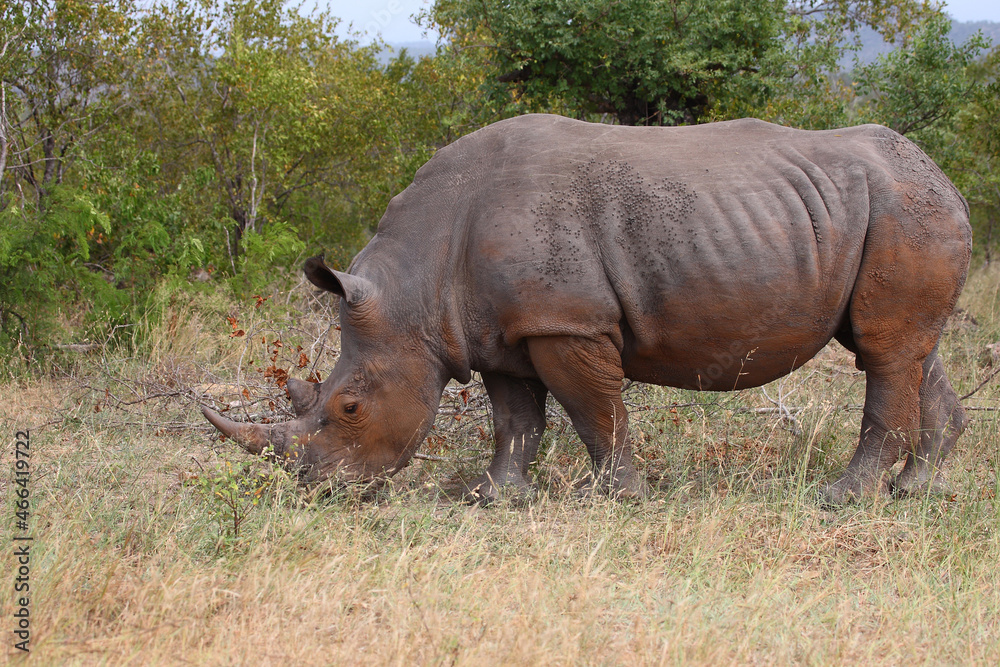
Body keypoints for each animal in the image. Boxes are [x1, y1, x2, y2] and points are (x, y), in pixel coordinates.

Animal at [203, 114, 971, 504]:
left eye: (350, 407)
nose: (315, 489)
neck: (415, 287)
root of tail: (948, 179)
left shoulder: (565, 321)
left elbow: (595, 412)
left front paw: (621, 497)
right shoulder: (500, 328)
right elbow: (515, 419)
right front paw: (495, 498)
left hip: (905, 208)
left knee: (884, 352)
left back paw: (844, 499)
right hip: (897, 210)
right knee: (906, 348)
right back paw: (918, 491)